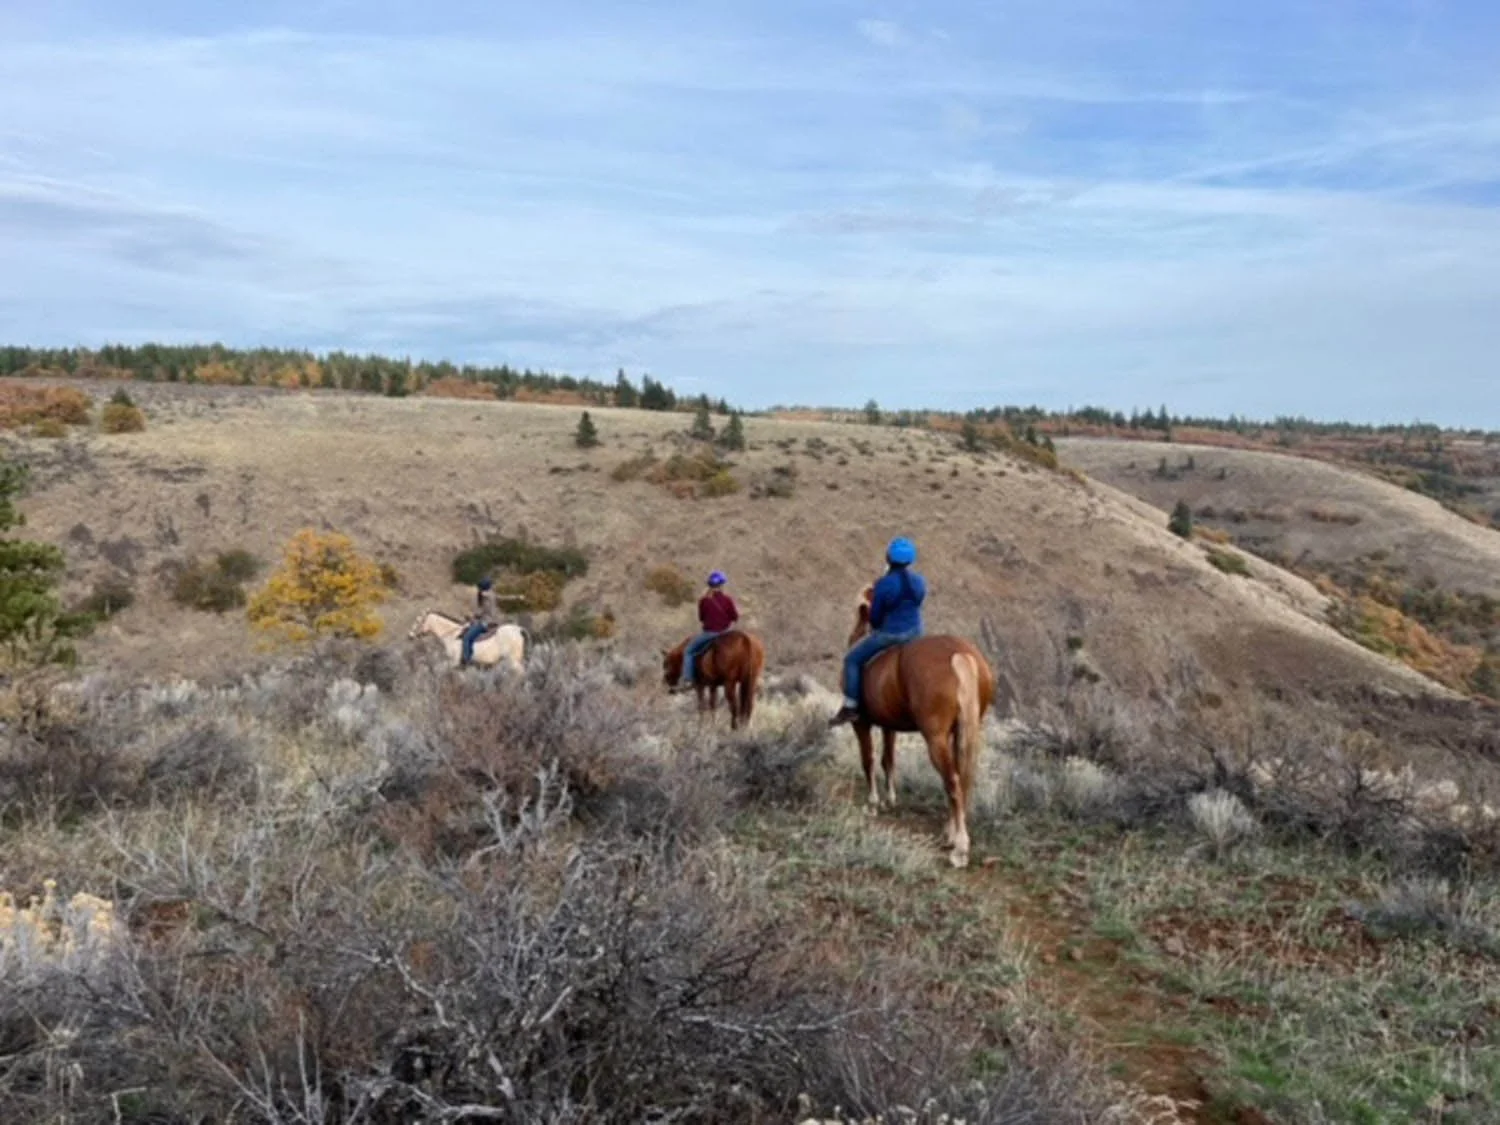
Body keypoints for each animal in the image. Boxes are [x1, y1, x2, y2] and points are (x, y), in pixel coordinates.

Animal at [842, 585, 996, 868]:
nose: (855, 635)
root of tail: (960, 654)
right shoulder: (888, 726)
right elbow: (888, 760)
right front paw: (890, 799)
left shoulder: (861, 724)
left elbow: (868, 760)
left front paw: (873, 803)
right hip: (961, 734)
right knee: (962, 778)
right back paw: (951, 833)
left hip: (935, 738)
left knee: (952, 781)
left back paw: (959, 848)